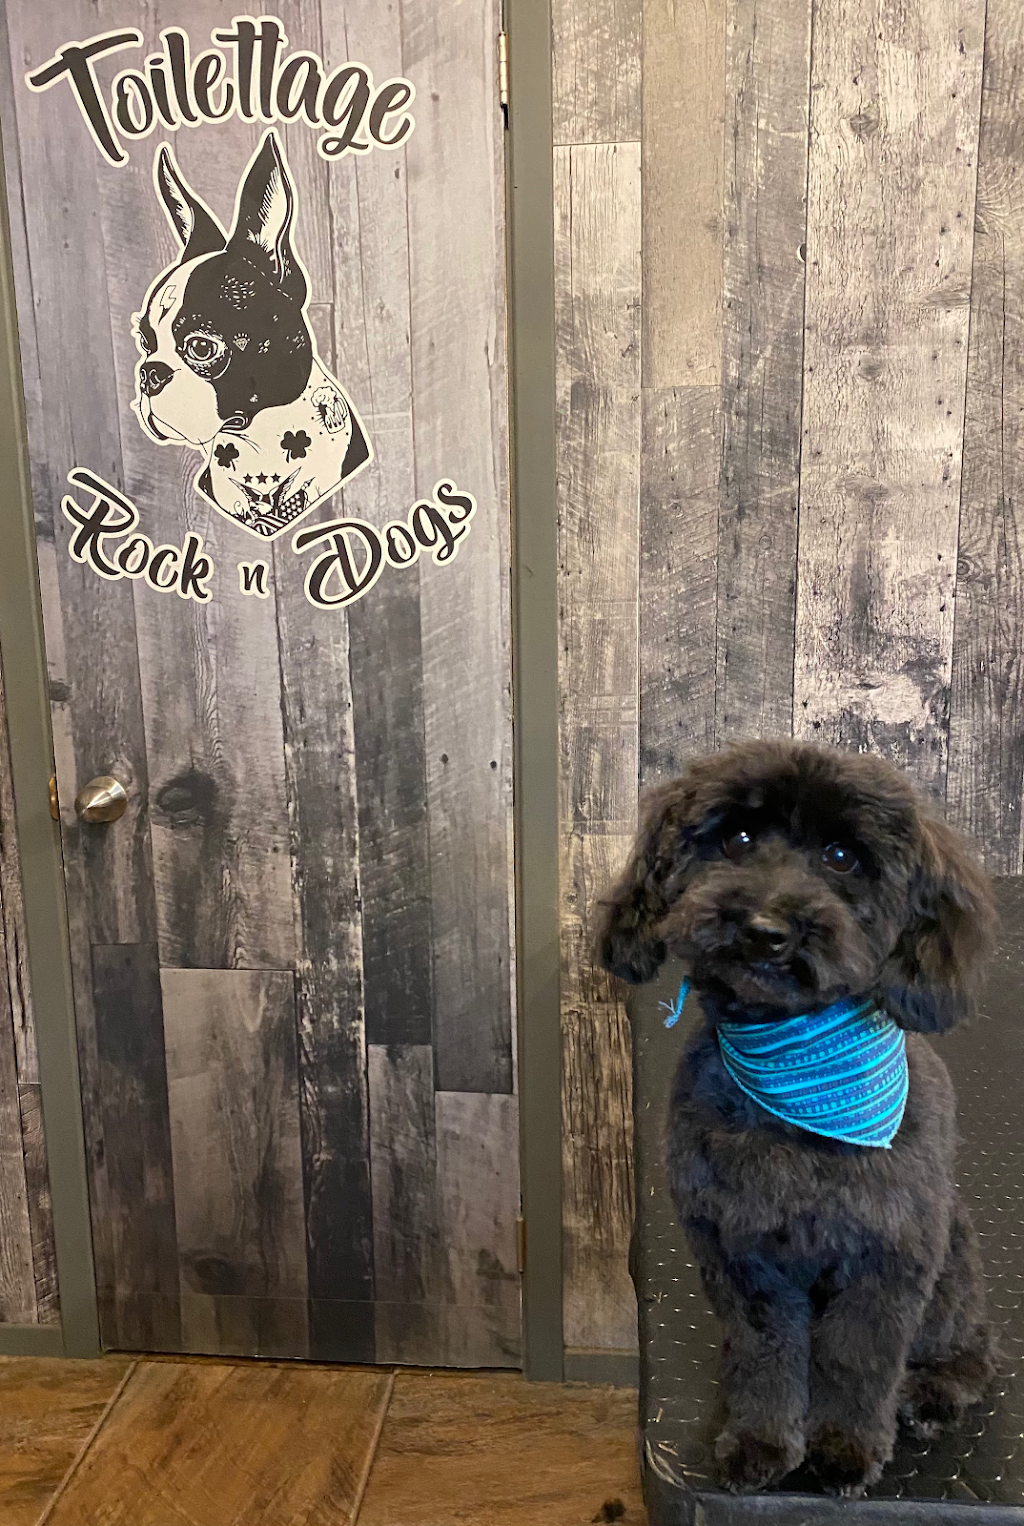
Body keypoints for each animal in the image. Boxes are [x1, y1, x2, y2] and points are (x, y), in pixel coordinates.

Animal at [597, 740, 997, 1496]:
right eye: (738, 839)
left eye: (841, 857)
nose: (765, 931)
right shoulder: (741, 1253)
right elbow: (766, 1353)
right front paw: (761, 1442)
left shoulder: (888, 1256)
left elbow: (858, 1360)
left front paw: (843, 1449)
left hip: (952, 1258)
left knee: (969, 1344)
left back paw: (934, 1390)